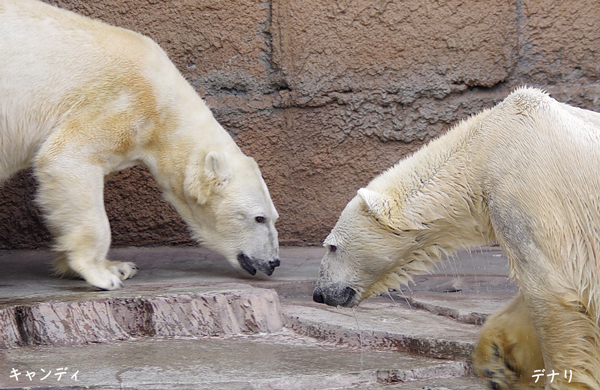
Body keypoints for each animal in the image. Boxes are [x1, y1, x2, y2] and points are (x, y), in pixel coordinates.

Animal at [0, 0, 282, 290]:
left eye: (274, 217)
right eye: (258, 217)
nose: (273, 262)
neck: (165, 106)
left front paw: (117, 266)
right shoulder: (121, 102)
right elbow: (67, 159)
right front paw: (104, 275)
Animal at [312, 88, 600, 390]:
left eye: (332, 246)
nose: (319, 293)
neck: (485, 149)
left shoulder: (533, 198)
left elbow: (551, 291)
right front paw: (496, 363)